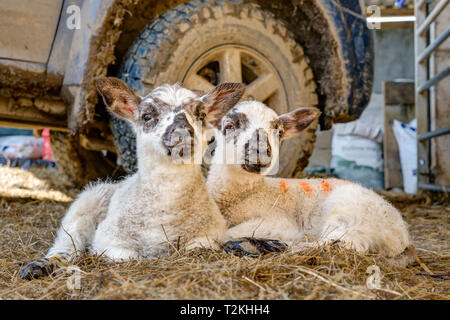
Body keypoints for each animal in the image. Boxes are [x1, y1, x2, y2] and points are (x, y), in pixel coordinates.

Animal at [19, 78, 246, 280]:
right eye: (146, 116)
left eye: (201, 115)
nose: (183, 132)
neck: (165, 211)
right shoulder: (109, 241)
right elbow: (127, 256)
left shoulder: (210, 236)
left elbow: (195, 248)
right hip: (86, 203)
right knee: (67, 243)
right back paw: (39, 266)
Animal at [206, 101, 416, 266]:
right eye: (229, 126)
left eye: (279, 132)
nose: (261, 150)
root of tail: (403, 235)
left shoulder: (278, 222)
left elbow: (225, 233)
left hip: (352, 215)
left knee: (338, 244)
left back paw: (269, 245)